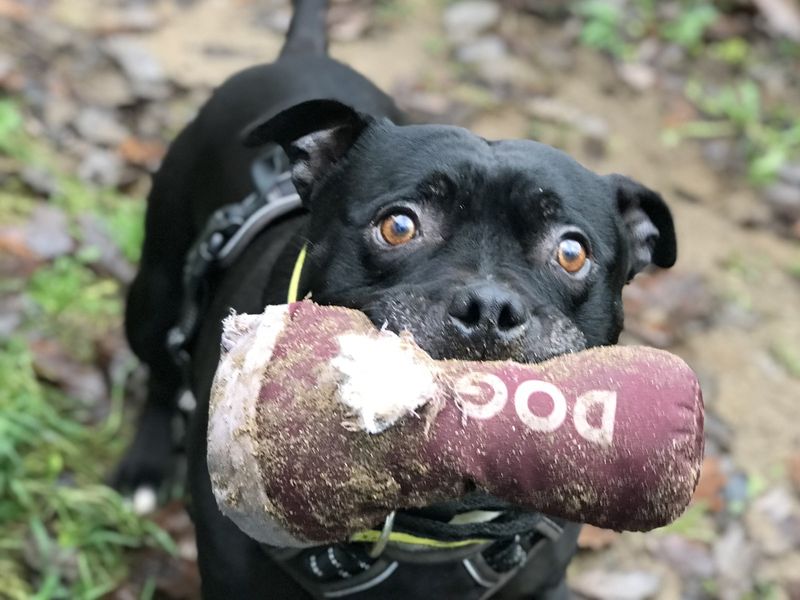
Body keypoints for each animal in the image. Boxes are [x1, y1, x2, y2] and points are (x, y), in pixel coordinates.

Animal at [119, 2, 676, 596]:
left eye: (572, 253)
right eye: (399, 225)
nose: (489, 309)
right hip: (154, 295)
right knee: (161, 371)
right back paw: (143, 470)